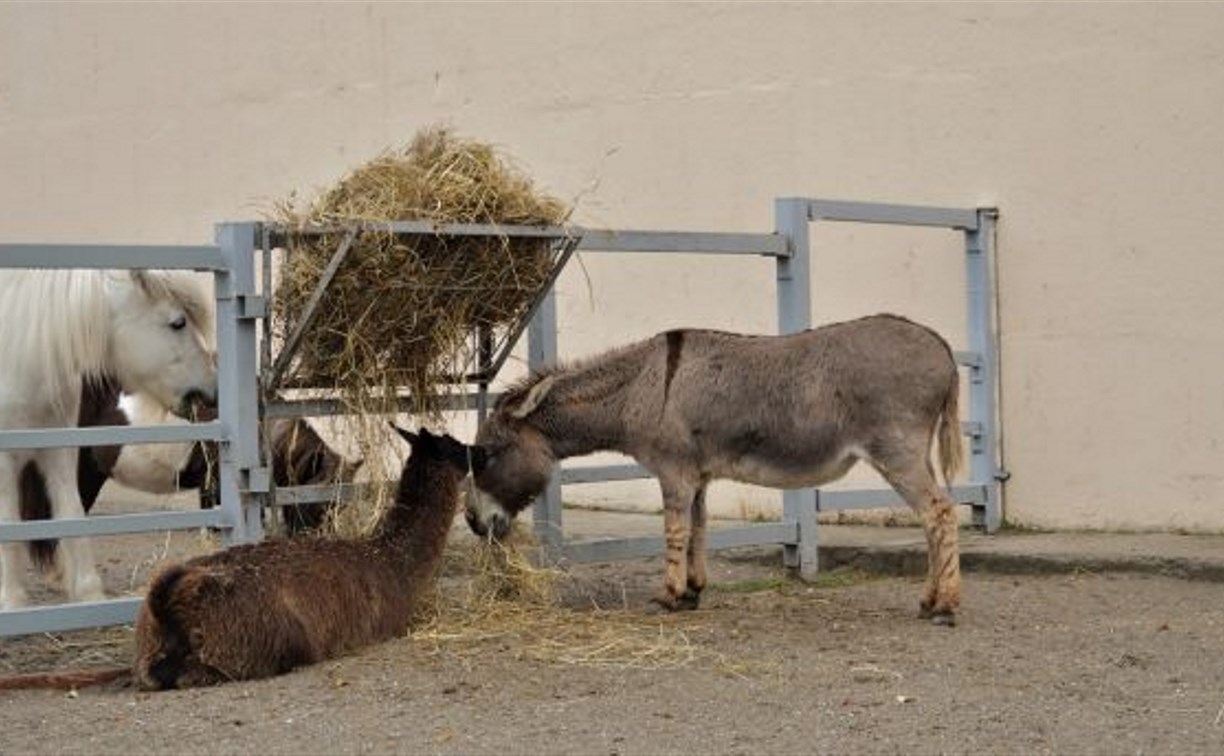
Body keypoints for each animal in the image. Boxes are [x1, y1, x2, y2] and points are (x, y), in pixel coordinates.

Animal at [0, 267, 215, 609]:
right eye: (178, 322)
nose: (211, 390)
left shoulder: (59, 452)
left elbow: (71, 514)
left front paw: (89, 593)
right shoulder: (5, 462)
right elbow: (8, 529)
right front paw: (12, 600)